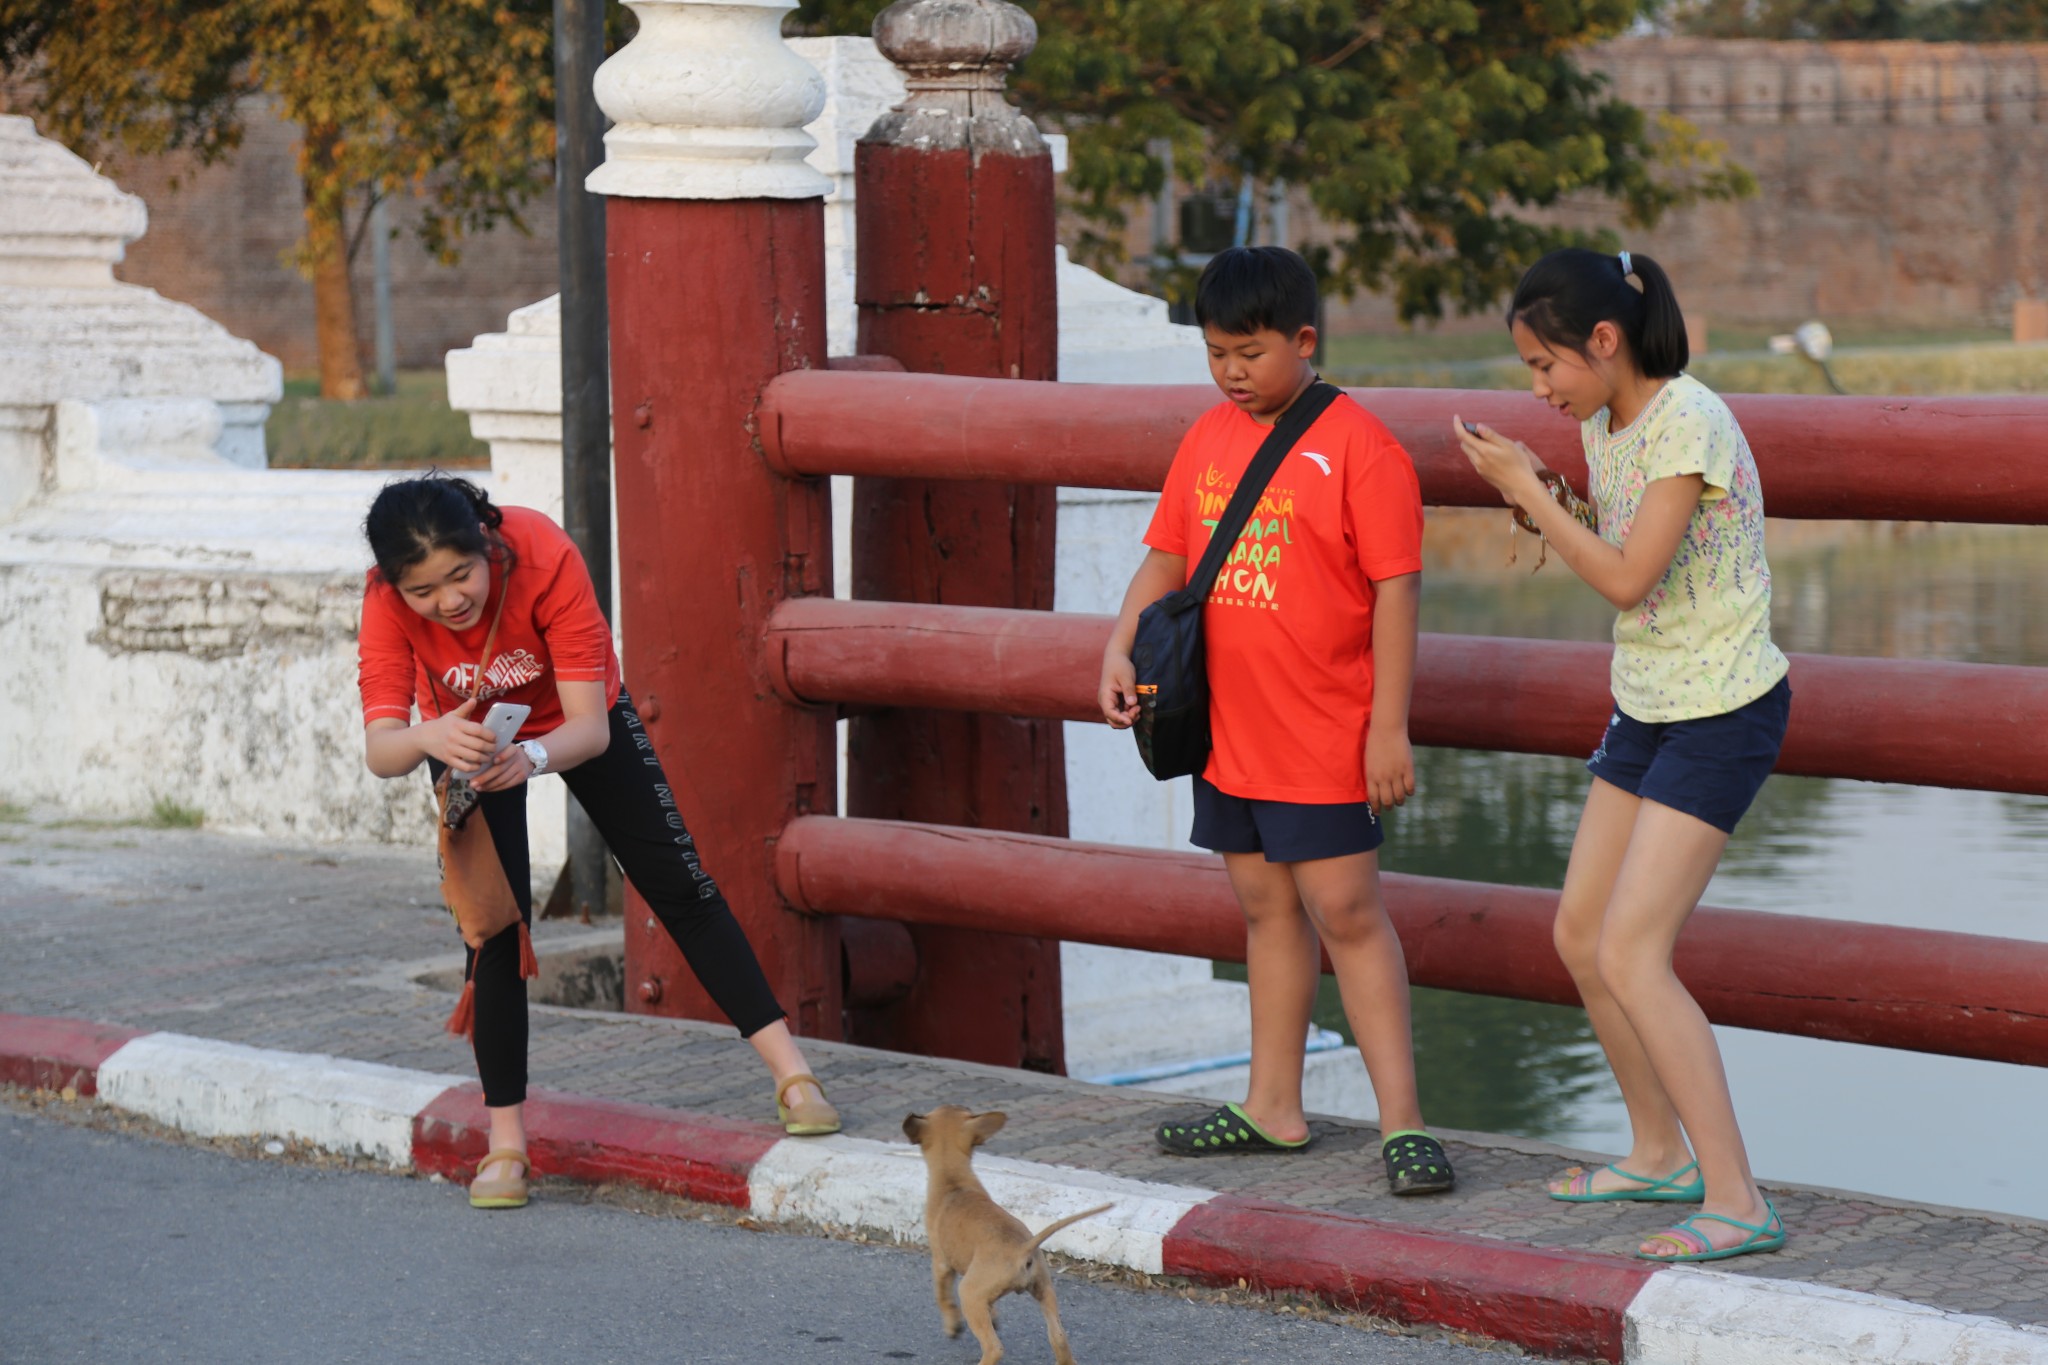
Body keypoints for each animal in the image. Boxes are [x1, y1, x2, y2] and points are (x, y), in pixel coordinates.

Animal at [905, 1113, 1114, 1365]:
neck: (954, 1182)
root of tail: (1021, 1248)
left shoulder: (941, 1263)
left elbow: (942, 1296)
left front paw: (952, 1326)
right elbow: (991, 1307)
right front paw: (993, 1317)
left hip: (969, 1293)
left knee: (994, 1347)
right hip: (1043, 1289)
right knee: (1059, 1336)